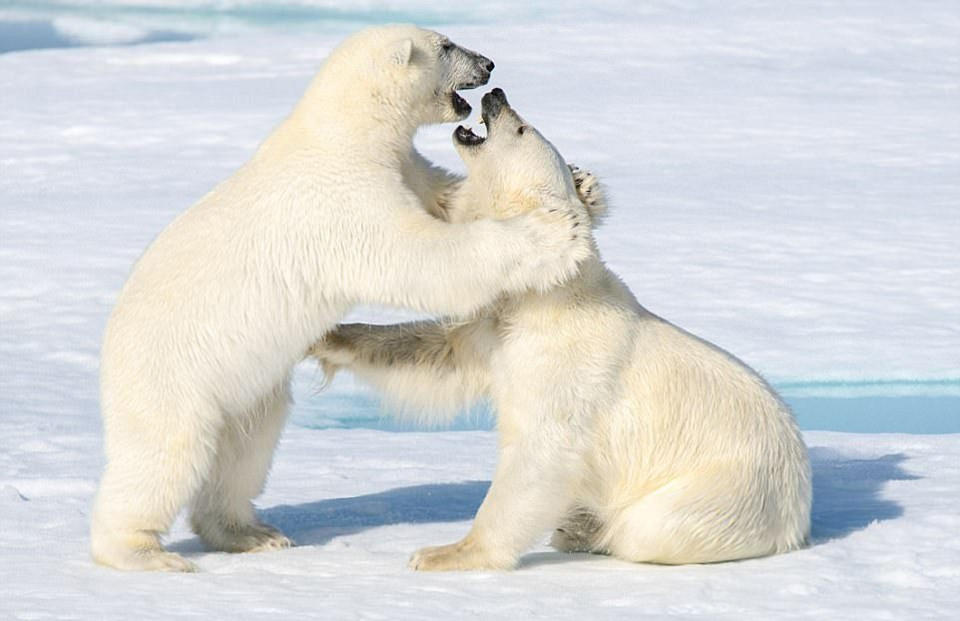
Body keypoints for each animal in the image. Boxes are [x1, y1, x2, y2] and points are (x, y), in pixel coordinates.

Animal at [95, 29, 592, 572]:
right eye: (445, 45)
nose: (488, 64)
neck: (344, 135)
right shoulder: (344, 197)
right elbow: (419, 257)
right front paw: (552, 231)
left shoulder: (400, 166)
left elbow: (447, 199)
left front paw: (584, 185)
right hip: (174, 376)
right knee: (163, 456)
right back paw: (143, 552)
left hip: (246, 389)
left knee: (244, 451)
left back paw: (252, 534)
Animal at [314, 88, 808, 572]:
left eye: (521, 127)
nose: (496, 94)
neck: (546, 294)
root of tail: (797, 514)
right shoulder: (495, 329)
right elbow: (440, 356)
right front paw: (330, 337)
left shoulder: (564, 364)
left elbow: (540, 454)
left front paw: (444, 553)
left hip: (721, 493)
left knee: (650, 526)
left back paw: (593, 529)